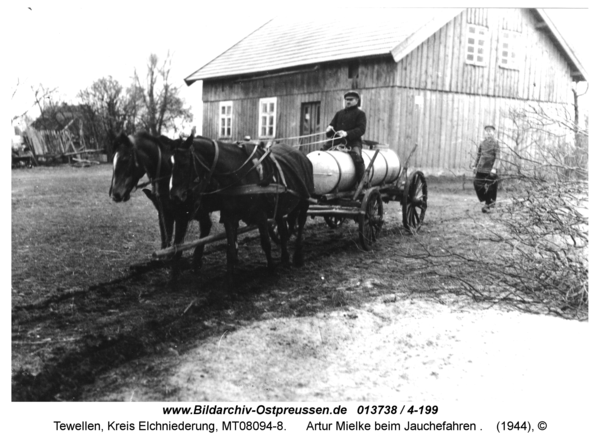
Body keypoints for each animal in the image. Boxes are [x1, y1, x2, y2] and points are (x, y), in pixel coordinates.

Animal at [109, 130, 217, 280]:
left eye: (125, 159)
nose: (115, 194)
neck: (168, 173)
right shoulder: (163, 213)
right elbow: (165, 241)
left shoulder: (182, 216)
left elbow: (177, 246)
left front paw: (174, 275)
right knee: (206, 226)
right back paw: (196, 262)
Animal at [166, 135, 312, 282]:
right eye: (171, 164)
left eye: (183, 163)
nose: (174, 196)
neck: (239, 176)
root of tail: (302, 155)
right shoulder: (230, 218)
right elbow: (231, 250)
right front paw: (230, 278)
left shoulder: (261, 215)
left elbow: (266, 243)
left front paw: (271, 269)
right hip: (280, 208)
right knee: (282, 229)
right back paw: (285, 258)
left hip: (304, 202)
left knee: (300, 224)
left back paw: (298, 256)